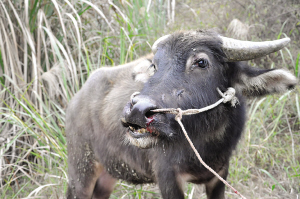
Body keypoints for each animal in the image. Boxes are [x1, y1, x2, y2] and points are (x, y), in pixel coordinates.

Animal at [64, 29, 296, 199]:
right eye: (155, 65)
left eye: (201, 62)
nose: (138, 111)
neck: (203, 144)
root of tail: (75, 100)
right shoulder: (167, 178)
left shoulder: (220, 174)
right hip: (81, 170)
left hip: (105, 178)